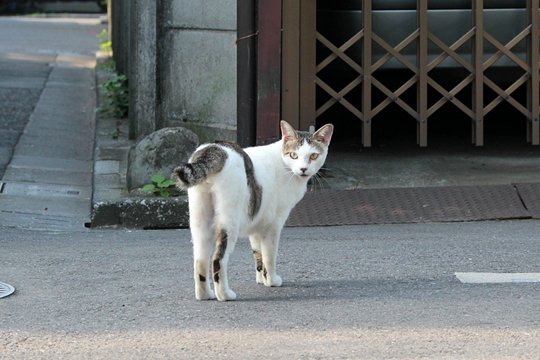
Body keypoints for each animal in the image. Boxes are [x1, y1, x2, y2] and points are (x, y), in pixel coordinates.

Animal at [173, 121, 334, 300]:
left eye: (313, 156)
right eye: (294, 155)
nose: (304, 169)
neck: (284, 164)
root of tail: (214, 149)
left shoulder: (257, 223)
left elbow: (258, 254)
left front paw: (261, 279)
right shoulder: (274, 224)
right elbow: (269, 256)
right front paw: (271, 280)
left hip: (200, 220)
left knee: (200, 260)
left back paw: (205, 294)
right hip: (229, 222)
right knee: (217, 259)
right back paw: (224, 294)